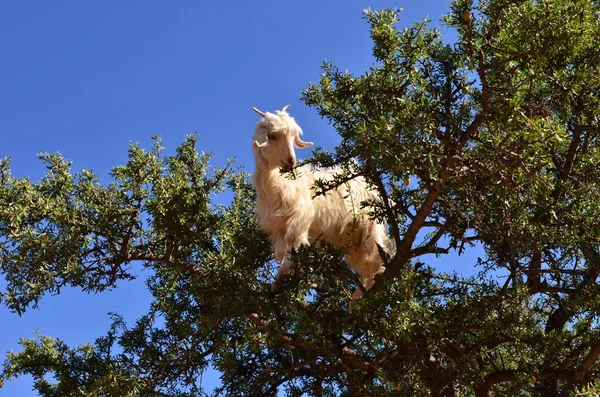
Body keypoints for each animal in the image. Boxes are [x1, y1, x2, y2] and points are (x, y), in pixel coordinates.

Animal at [250, 103, 394, 304]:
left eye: (293, 137)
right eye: (272, 136)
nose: (291, 161)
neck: (279, 182)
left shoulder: (299, 220)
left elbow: (292, 248)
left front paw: (284, 274)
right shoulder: (279, 228)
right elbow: (284, 251)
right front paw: (277, 283)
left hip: (371, 226)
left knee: (376, 256)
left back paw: (366, 289)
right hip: (352, 238)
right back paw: (358, 298)